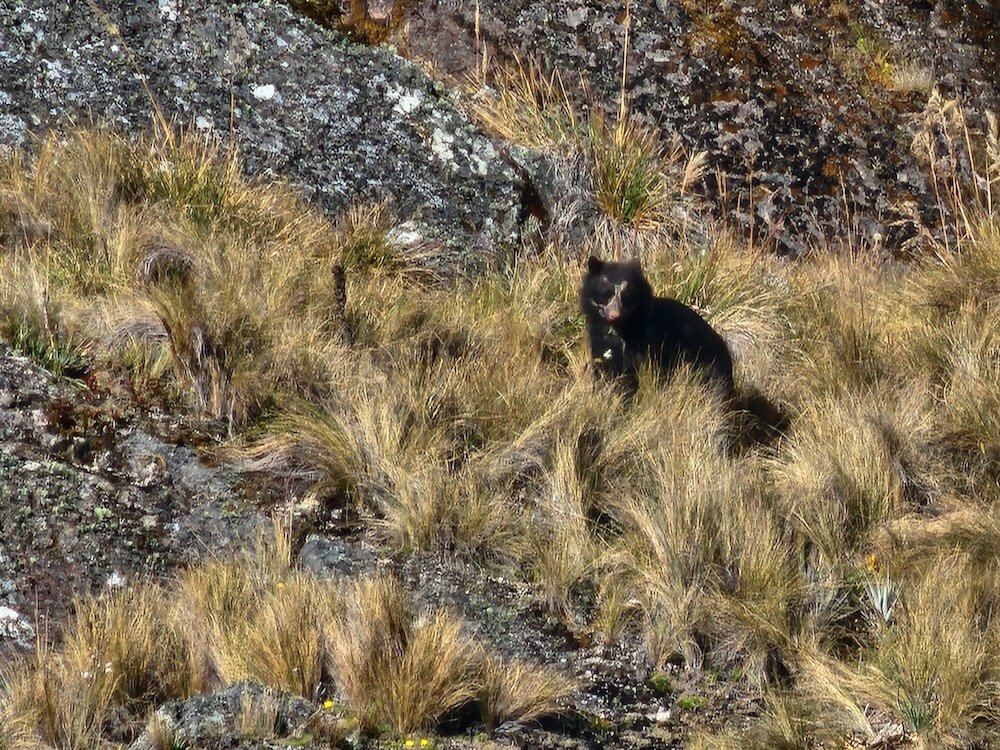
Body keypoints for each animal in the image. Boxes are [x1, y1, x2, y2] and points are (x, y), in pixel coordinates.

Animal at [579, 255, 735, 398]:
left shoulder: (648, 339)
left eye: (626, 296)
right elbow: (603, 365)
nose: (615, 315)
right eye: (605, 294)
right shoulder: (598, 336)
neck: (620, 327)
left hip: (707, 364)